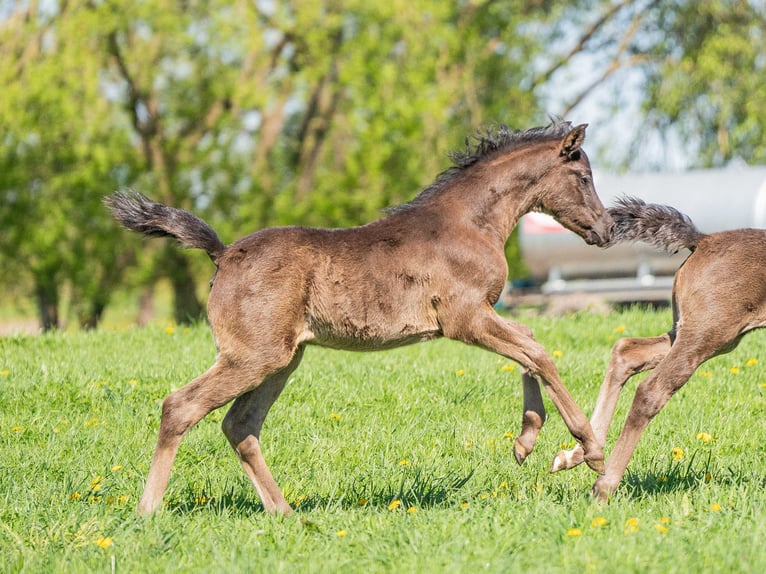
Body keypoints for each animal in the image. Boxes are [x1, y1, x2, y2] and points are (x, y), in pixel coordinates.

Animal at [105, 120, 613, 515]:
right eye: (584, 176)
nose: (607, 229)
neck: (469, 223)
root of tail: (224, 254)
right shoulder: (465, 318)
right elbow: (538, 353)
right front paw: (586, 451)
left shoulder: (480, 315)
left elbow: (529, 343)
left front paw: (526, 442)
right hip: (253, 356)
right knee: (181, 406)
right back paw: (148, 511)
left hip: (280, 359)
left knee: (240, 426)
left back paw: (285, 512)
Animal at [551, 196, 766, 499]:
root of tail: (703, 239)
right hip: (708, 333)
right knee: (651, 390)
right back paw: (604, 485)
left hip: (694, 332)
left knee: (626, 351)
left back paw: (579, 454)